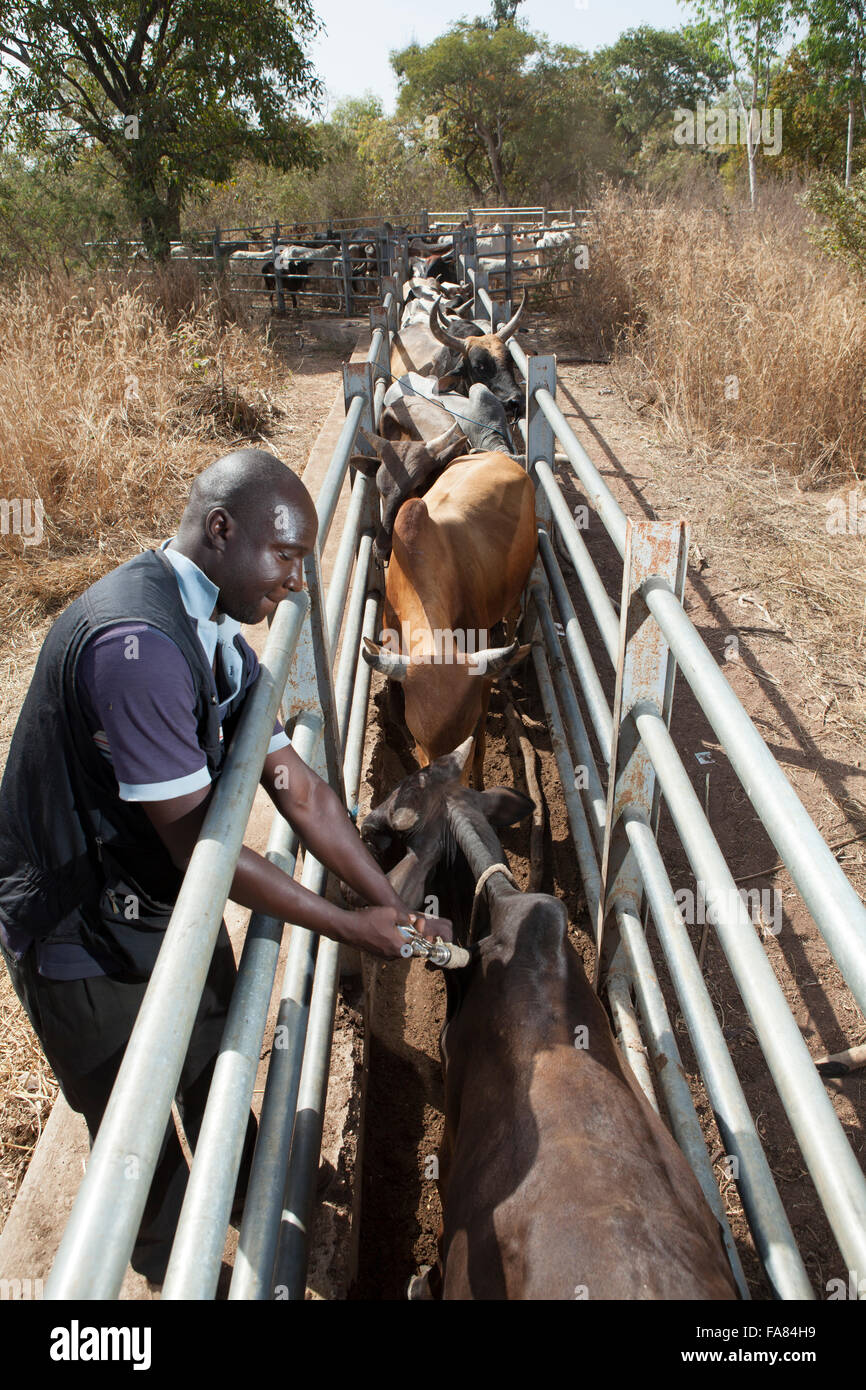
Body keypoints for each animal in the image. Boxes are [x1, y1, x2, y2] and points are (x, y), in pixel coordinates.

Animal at [358, 453, 536, 789]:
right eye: (418, 738)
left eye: (466, 734)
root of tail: (499, 456)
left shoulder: (481, 684)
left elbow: (480, 750)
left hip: (518, 587)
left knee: (511, 616)